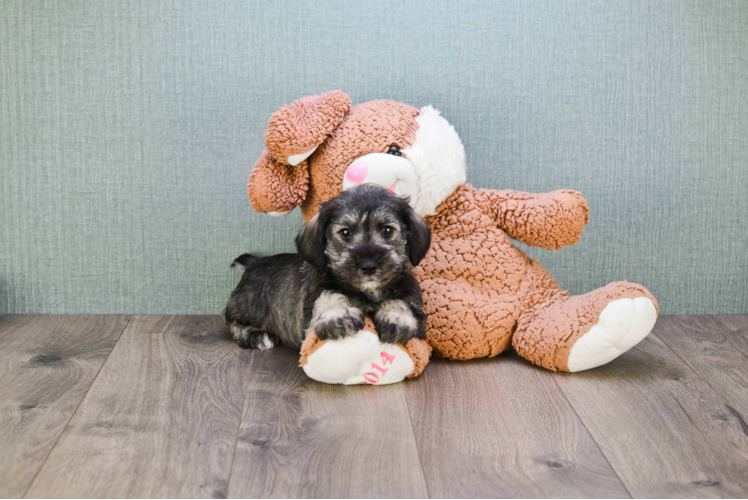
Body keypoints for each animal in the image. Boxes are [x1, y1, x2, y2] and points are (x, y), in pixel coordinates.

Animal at [222, 184, 430, 352]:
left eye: (387, 230)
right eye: (345, 232)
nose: (369, 266)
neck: (367, 292)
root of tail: (255, 262)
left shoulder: (411, 298)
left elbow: (401, 302)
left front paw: (397, 318)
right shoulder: (314, 302)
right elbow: (329, 295)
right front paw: (338, 315)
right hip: (248, 307)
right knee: (231, 321)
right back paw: (256, 336)